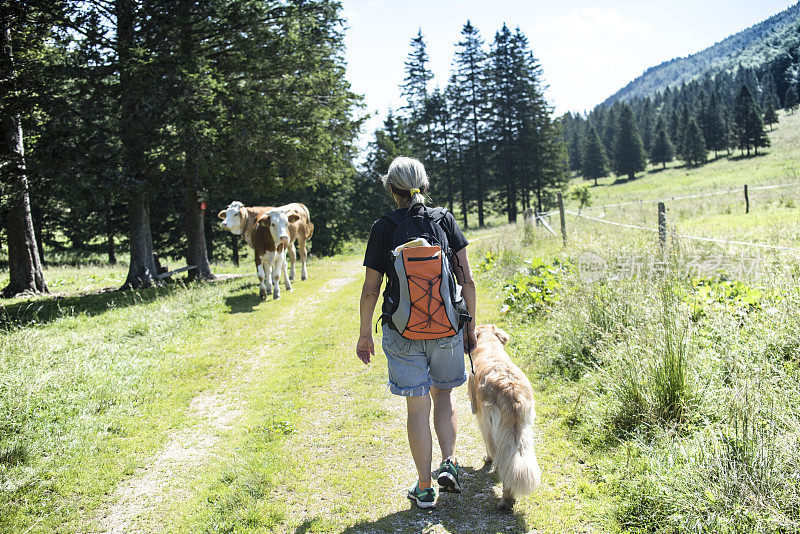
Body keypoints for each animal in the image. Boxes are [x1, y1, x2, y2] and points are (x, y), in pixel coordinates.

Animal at [468, 324, 544, 512]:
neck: (489, 345)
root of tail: (511, 392)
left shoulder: (481, 419)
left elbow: (489, 446)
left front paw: (488, 460)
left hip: (496, 427)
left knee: (501, 456)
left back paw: (506, 500)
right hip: (521, 430)